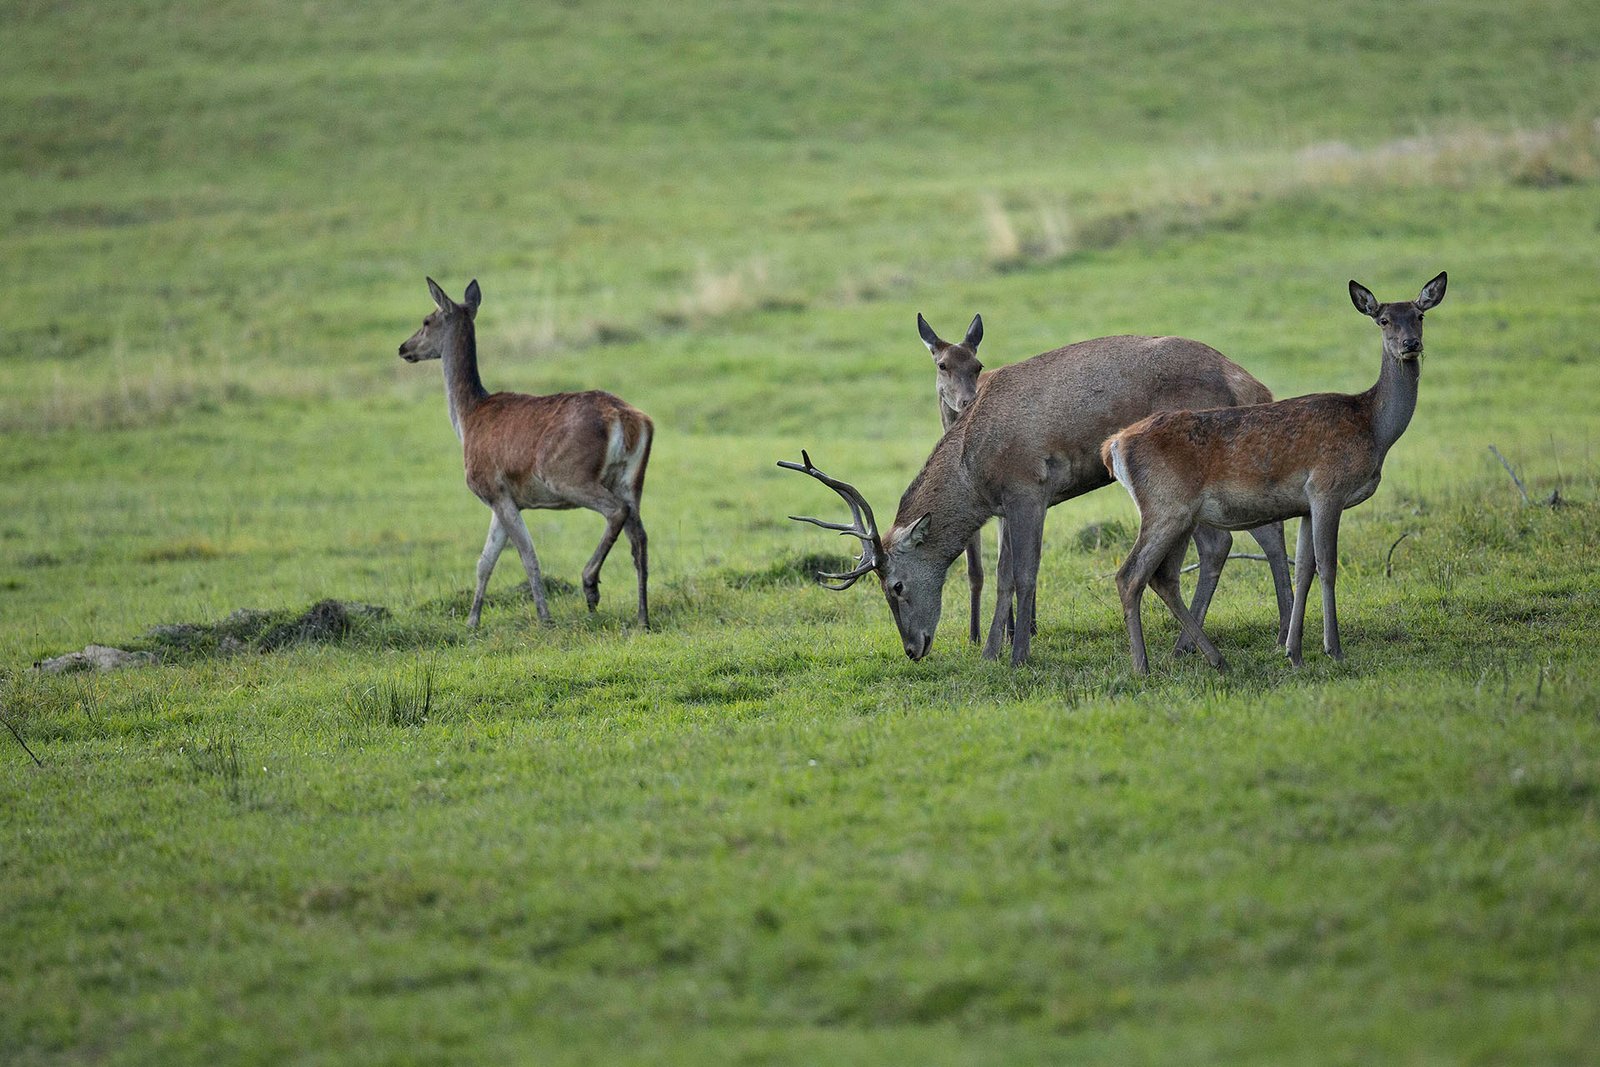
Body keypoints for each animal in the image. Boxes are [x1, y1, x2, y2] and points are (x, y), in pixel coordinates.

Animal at [398, 275, 649, 630]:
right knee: (639, 538)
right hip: (631, 478)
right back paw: (642, 617)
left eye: (426, 321)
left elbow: (527, 556)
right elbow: (484, 561)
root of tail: (627, 419)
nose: (403, 347)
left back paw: (590, 585)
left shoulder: (493, 488)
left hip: (569, 475)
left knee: (616, 512)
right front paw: (472, 623)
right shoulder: (504, 499)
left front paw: (545, 618)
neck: (467, 420)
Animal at [1107, 275, 1446, 675]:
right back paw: (1142, 666)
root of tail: (1113, 446)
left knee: (1163, 576)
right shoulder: (1327, 488)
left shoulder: (1305, 504)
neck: (1373, 430)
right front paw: (1333, 649)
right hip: (1166, 506)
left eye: (1419, 315)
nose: (1410, 344)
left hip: (1180, 514)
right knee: (1130, 575)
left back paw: (1215, 658)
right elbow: (1328, 566)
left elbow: (1304, 569)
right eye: (1384, 320)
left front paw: (1293, 651)